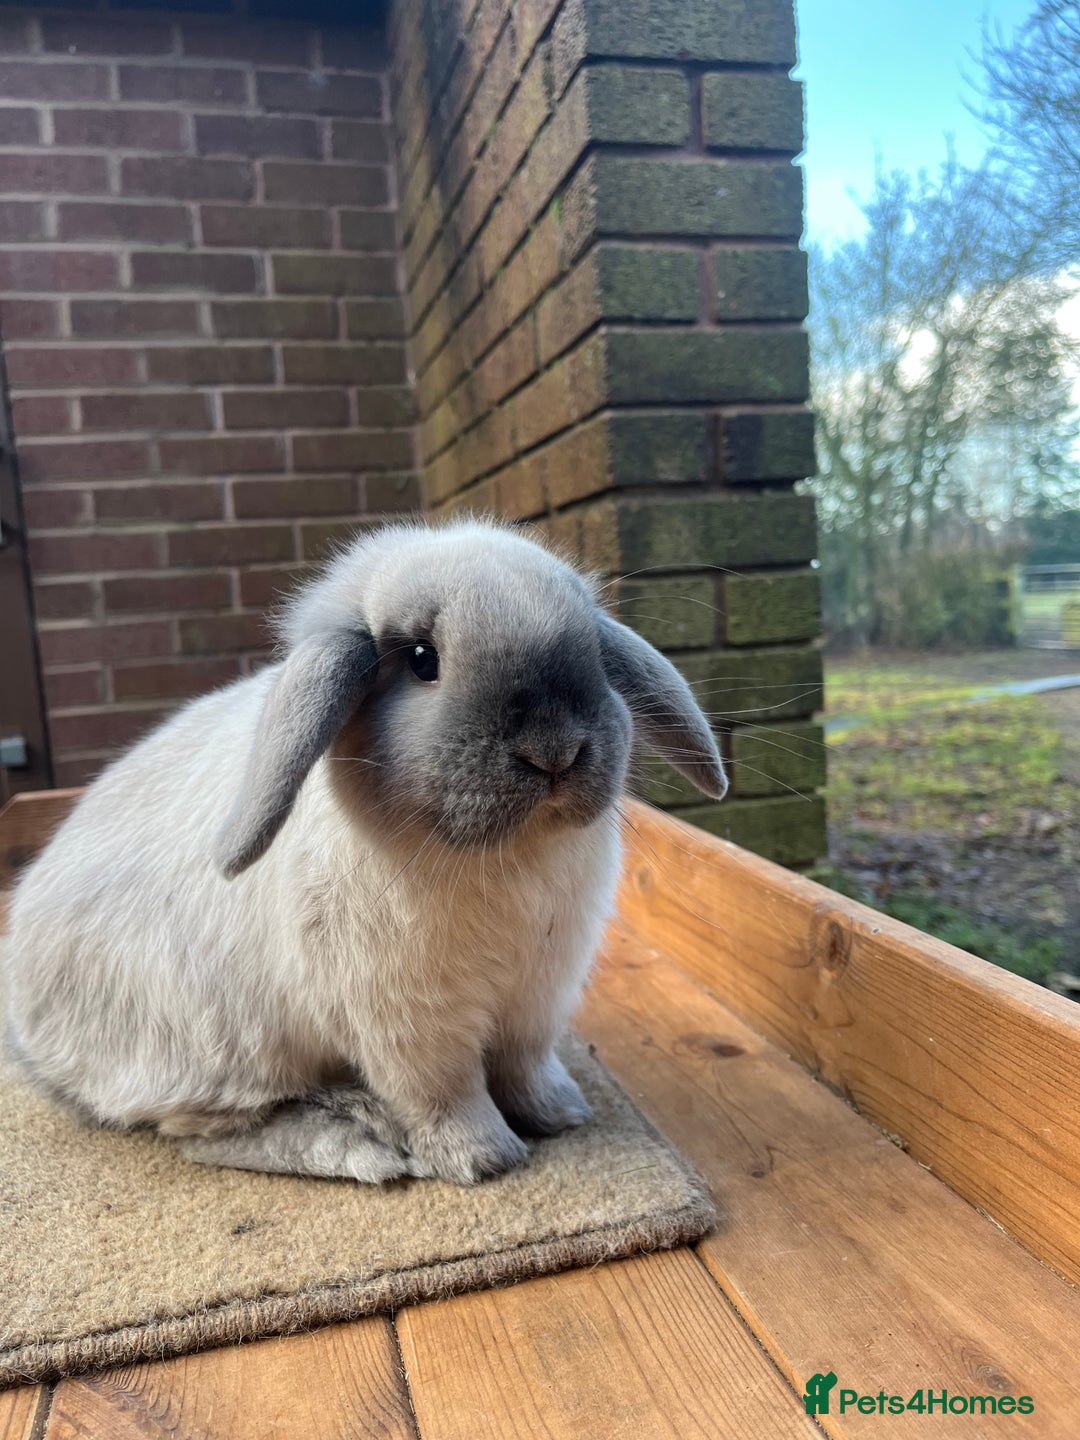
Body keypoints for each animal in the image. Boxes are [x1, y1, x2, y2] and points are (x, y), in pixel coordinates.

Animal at [4, 518, 726, 1185]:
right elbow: (445, 1093)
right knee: (210, 1132)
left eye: (594, 652)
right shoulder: (410, 1023)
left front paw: (562, 1114)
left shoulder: (537, 998)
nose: (555, 750)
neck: (505, 859)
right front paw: (485, 1160)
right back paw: (361, 1143)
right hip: (212, 1049)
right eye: (422, 658)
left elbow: (526, 1066)